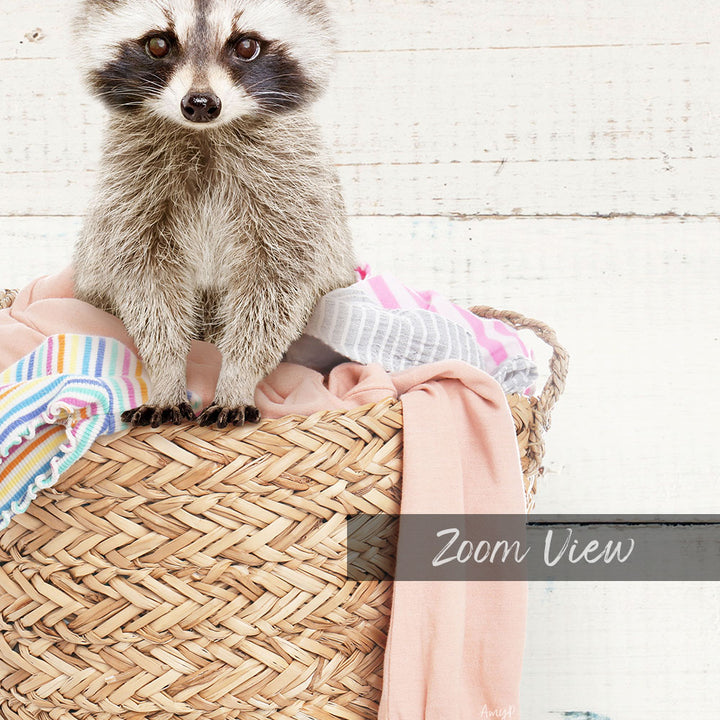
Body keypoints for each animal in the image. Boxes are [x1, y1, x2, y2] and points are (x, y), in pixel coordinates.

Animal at [72, 0, 356, 428]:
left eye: (246, 46)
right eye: (158, 44)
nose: (201, 104)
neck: (204, 135)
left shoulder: (294, 192)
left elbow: (275, 291)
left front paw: (237, 376)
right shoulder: (129, 194)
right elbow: (145, 287)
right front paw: (166, 373)